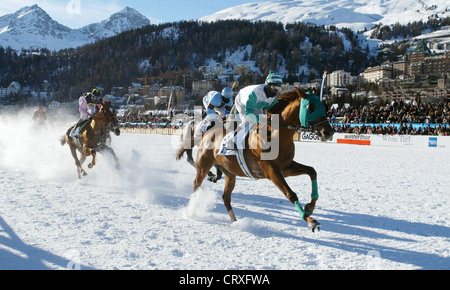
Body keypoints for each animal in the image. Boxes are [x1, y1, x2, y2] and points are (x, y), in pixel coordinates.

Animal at [193, 87, 334, 232]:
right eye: (311, 107)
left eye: (324, 106)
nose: (329, 132)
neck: (276, 136)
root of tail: (208, 132)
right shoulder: (271, 170)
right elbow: (290, 193)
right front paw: (311, 220)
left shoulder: (286, 167)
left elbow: (312, 171)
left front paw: (310, 207)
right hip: (203, 166)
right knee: (196, 185)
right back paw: (192, 210)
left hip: (229, 173)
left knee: (225, 197)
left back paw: (235, 221)